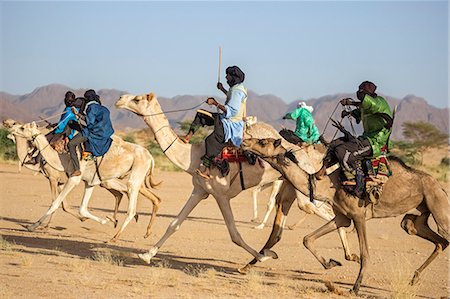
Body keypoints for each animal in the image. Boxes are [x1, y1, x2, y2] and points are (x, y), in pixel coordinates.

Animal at [114, 92, 354, 266]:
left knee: (321, 209)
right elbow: (174, 224)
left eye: (137, 99)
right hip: (291, 184)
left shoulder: (221, 194)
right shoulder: (200, 191)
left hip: (302, 184)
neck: (193, 156)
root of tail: (313, 152)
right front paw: (146, 255)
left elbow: (234, 233)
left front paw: (263, 256)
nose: (120, 99)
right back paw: (348, 254)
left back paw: (346, 254)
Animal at [241, 138, 448, 296]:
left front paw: (354, 288)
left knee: (443, 235)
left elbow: (365, 255)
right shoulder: (343, 217)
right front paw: (332, 263)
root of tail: (440, 186)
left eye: (262, 141)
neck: (328, 187)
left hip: (438, 204)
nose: (244, 142)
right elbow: (308, 239)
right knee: (429, 236)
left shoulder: (358, 216)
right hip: (418, 214)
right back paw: (414, 278)